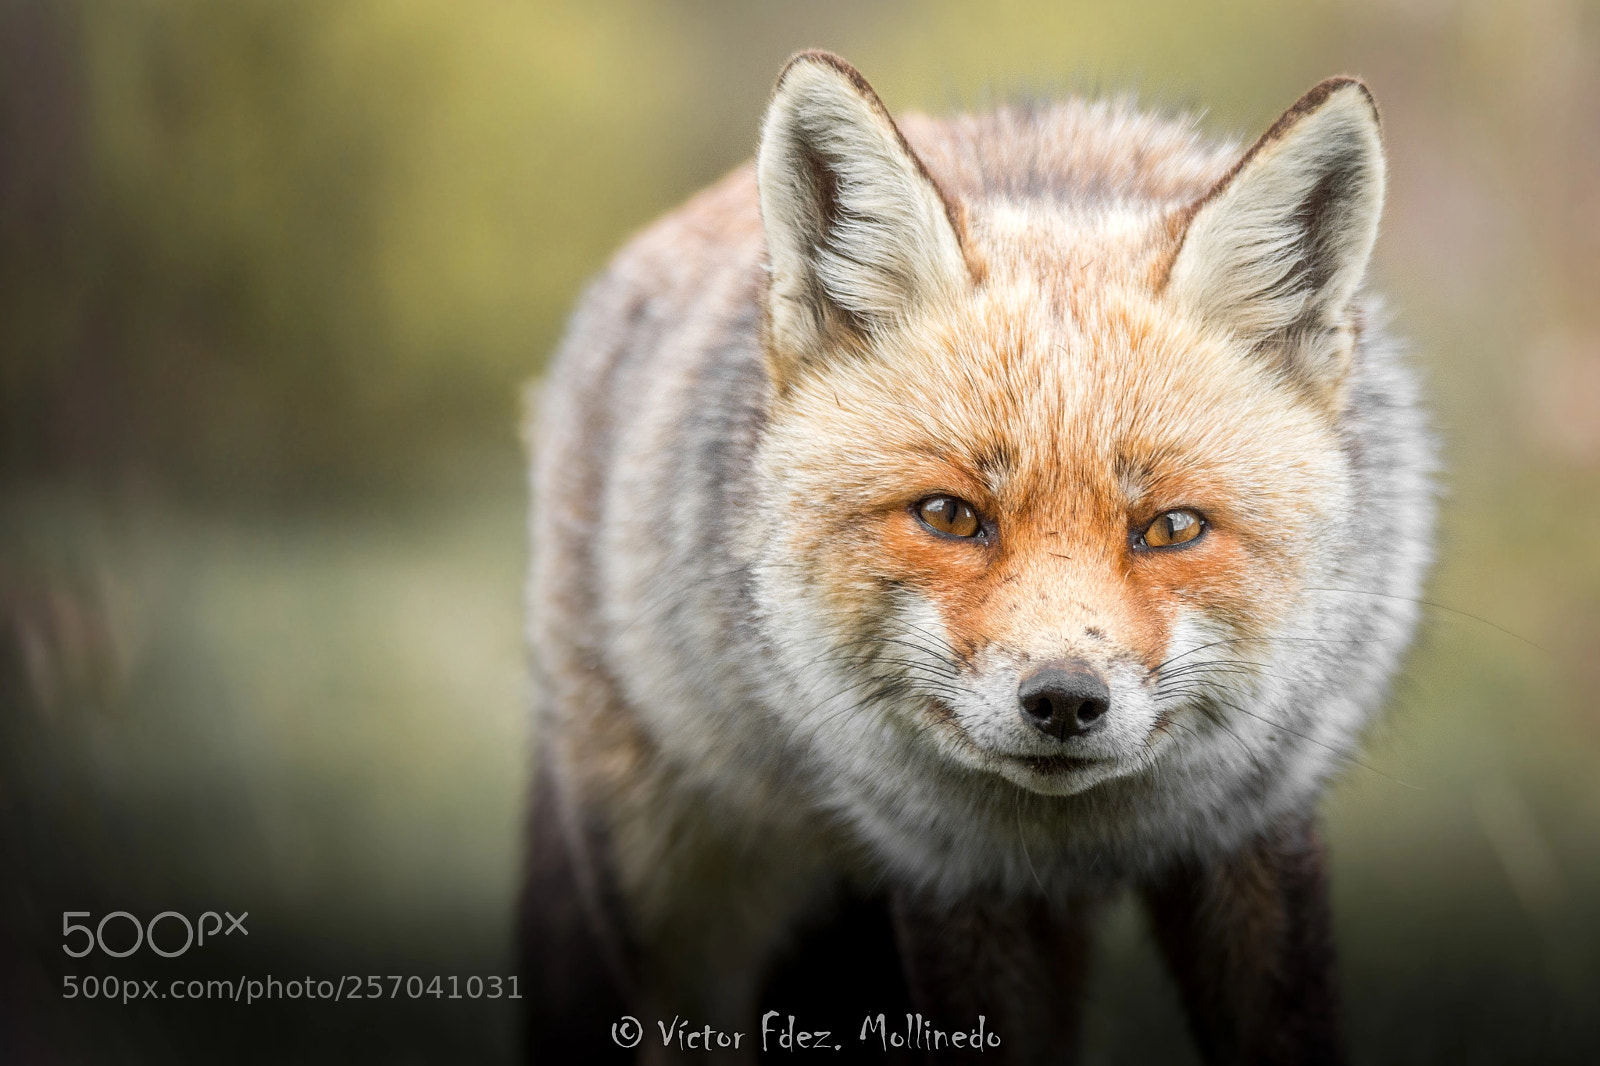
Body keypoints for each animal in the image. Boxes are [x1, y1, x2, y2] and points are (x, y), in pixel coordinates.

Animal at [520, 51, 1434, 1065]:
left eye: (1172, 529)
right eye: (951, 515)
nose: (1065, 700)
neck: (1078, 842)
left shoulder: (1254, 828)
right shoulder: (951, 876)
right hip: (665, 901)